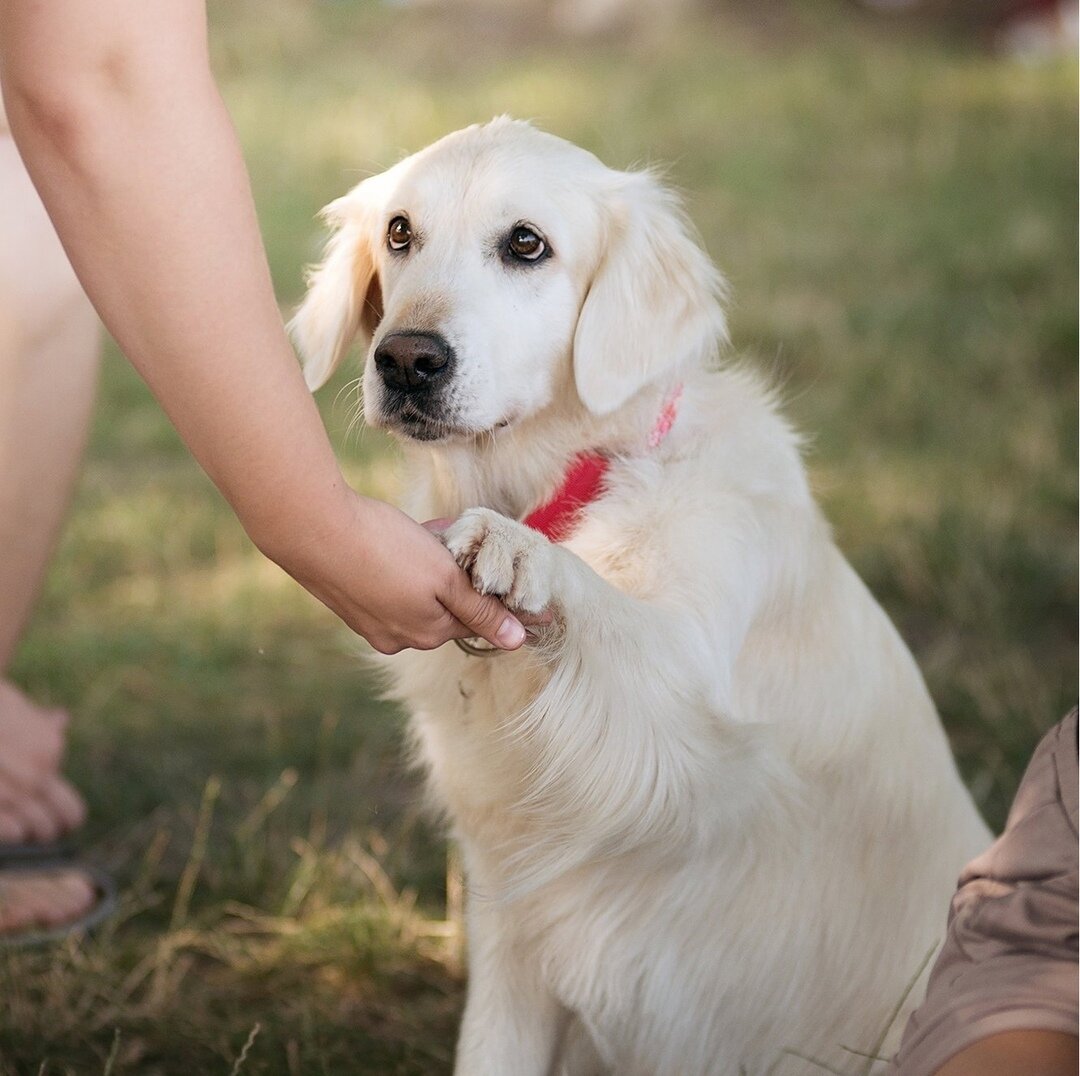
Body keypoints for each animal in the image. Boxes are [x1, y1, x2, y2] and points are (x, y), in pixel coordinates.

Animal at [291, 117, 989, 1076]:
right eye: (400, 233)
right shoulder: (512, 919)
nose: (404, 359)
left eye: (527, 243)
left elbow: (621, 632)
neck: (574, 483)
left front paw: (523, 554)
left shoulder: (694, 733)